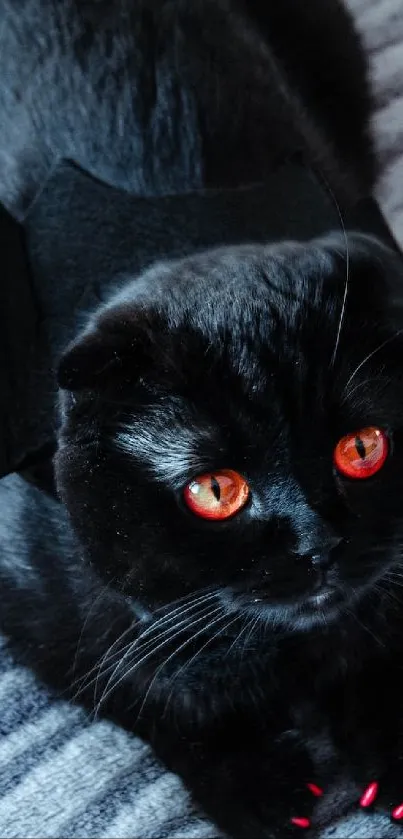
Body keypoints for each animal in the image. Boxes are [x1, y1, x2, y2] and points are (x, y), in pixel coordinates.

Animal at [0, 1, 403, 839]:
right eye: (215, 490)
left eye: (362, 448)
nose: (320, 542)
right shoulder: (34, 596)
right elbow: (140, 681)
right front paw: (251, 780)